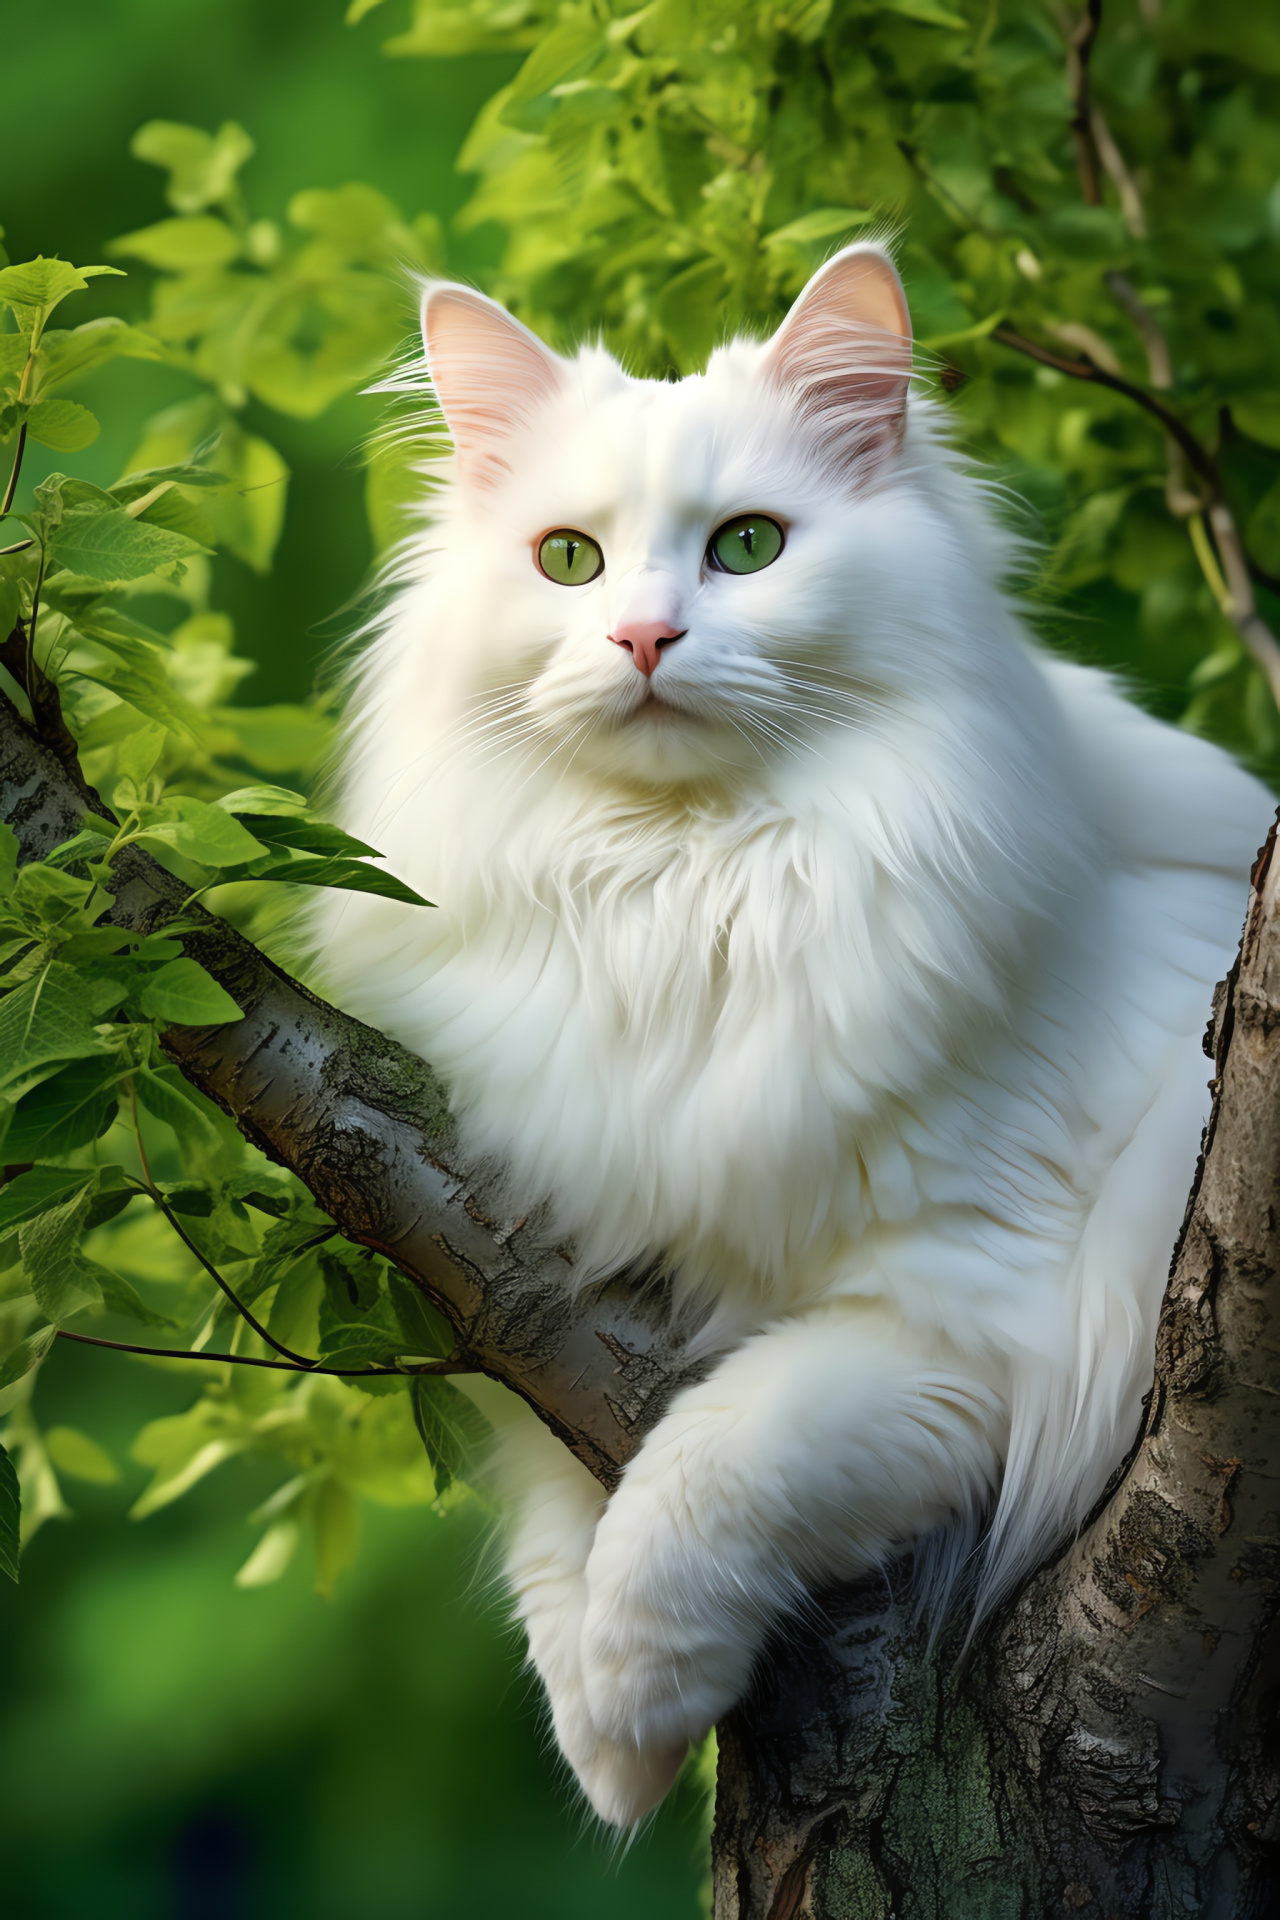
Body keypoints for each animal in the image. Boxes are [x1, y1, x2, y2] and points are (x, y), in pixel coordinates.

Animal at [320, 247, 1274, 1820]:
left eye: (749, 548)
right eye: (568, 563)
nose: (645, 637)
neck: (686, 896)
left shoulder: (972, 1319)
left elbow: (718, 1457)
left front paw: (636, 1692)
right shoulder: (522, 1270)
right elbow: (555, 1510)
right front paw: (604, 1742)